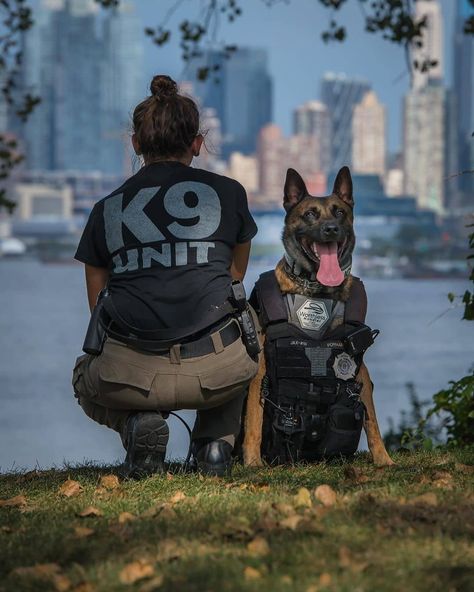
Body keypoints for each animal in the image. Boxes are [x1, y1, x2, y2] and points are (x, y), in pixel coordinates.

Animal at [243, 165, 394, 468]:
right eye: (310, 214)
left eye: (339, 212)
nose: (331, 229)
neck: (315, 289)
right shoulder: (260, 365)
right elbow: (253, 418)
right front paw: (252, 462)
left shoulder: (359, 367)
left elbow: (372, 420)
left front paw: (384, 459)